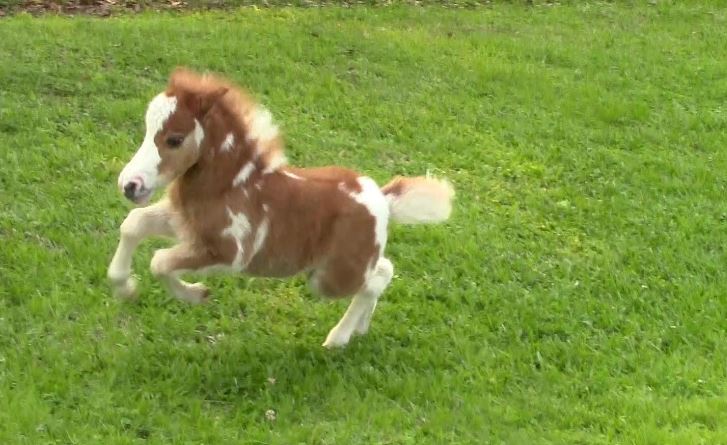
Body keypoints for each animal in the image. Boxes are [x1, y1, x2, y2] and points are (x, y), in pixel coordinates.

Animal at [107, 68, 454, 348]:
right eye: (147, 131)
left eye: (175, 140)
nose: (130, 185)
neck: (231, 185)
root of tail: (382, 200)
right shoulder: (184, 224)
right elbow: (134, 223)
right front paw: (125, 288)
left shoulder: (228, 253)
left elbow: (159, 261)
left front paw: (196, 294)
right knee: (382, 270)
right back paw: (360, 328)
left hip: (329, 278)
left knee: (379, 277)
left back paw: (338, 338)